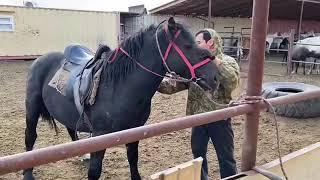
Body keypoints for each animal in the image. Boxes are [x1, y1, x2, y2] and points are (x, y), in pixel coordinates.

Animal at [22, 17, 218, 180]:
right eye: (188, 46)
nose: (215, 77)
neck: (118, 87)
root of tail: (39, 60)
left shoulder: (134, 131)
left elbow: (133, 160)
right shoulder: (100, 135)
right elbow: (95, 171)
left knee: (71, 130)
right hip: (32, 108)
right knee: (30, 137)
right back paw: (27, 174)